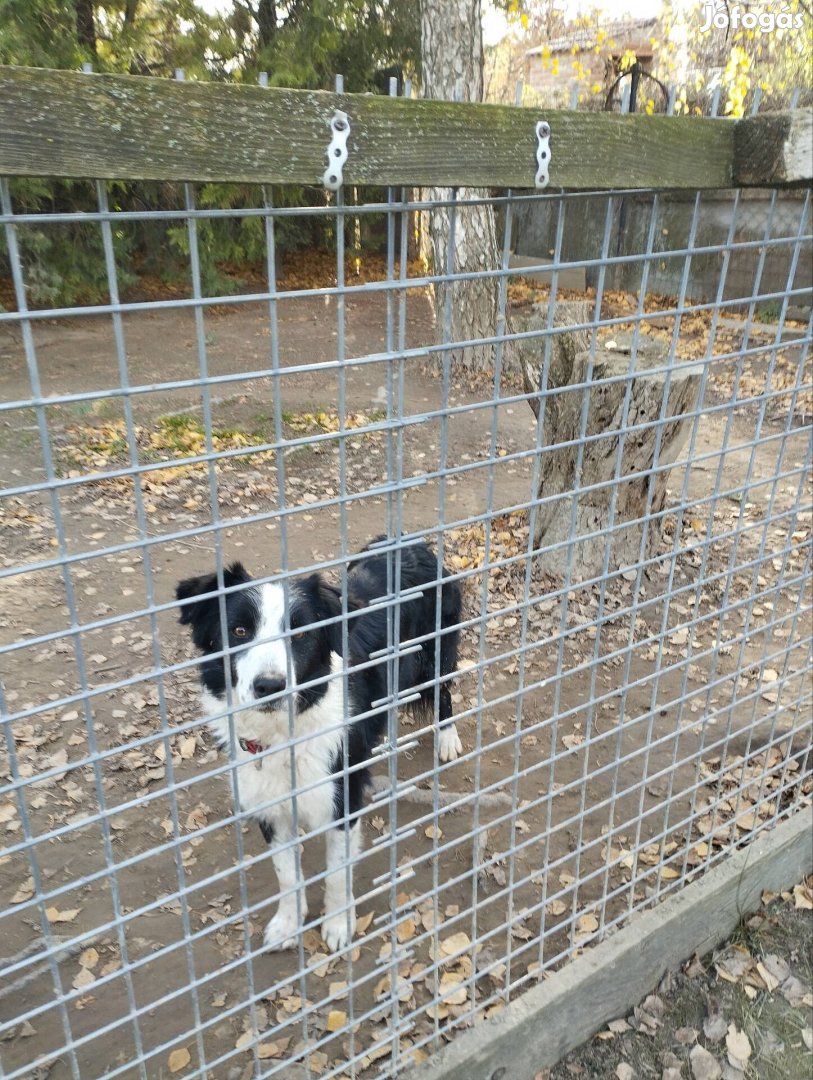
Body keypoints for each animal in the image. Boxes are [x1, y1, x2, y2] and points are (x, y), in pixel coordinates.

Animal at [174, 540, 459, 954]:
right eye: (239, 630)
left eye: (300, 636)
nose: (269, 686)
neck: (283, 736)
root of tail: (410, 543)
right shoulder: (270, 807)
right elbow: (287, 875)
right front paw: (288, 924)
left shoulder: (342, 800)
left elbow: (337, 874)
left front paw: (339, 925)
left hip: (434, 651)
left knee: (444, 691)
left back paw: (449, 737)